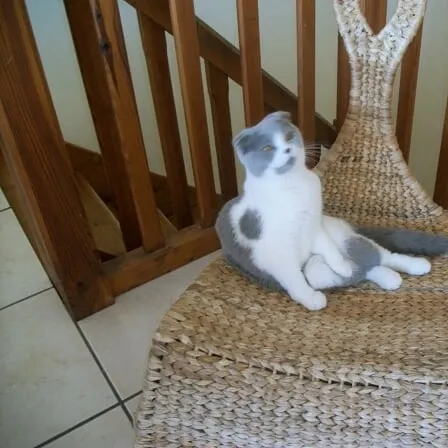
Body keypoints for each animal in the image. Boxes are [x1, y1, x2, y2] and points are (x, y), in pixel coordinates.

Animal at [215, 111, 446, 311]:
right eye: (267, 149)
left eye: (289, 136)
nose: (288, 149)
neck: (293, 186)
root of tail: (348, 225)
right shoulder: (276, 252)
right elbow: (294, 278)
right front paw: (310, 298)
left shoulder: (315, 226)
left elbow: (329, 249)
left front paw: (342, 265)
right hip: (317, 268)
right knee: (354, 268)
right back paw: (387, 277)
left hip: (342, 236)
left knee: (380, 254)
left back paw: (415, 265)